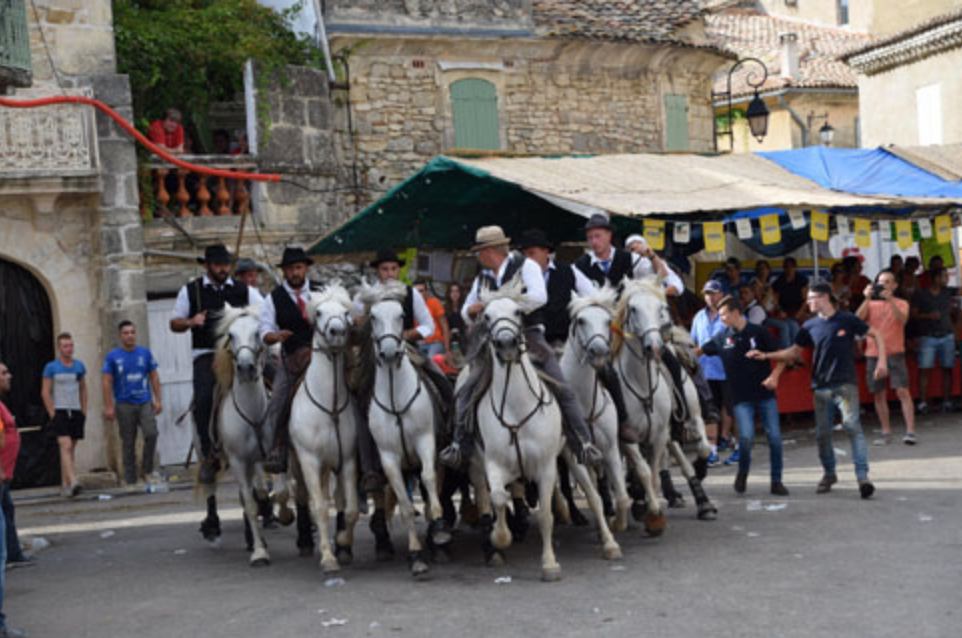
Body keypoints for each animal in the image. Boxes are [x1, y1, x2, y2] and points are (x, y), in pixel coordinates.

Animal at [356, 280, 454, 580]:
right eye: (373, 317)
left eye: (401, 315)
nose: (389, 353)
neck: (395, 397)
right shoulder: (389, 459)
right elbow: (407, 507)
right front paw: (416, 557)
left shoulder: (425, 443)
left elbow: (430, 485)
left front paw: (439, 532)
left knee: (434, 488)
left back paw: (439, 543)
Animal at [564, 286, 632, 540]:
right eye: (581, 320)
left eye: (607, 321)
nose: (599, 351)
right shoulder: (573, 456)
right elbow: (593, 498)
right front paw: (608, 540)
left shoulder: (610, 449)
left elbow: (622, 496)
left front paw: (618, 523)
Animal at [612, 280, 716, 524]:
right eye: (633, 309)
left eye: (662, 307)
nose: (655, 346)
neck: (641, 383)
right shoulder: (628, 436)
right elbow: (643, 469)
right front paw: (642, 500)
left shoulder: (677, 424)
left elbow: (704, 448)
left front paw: (699, 470)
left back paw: (701, 499)